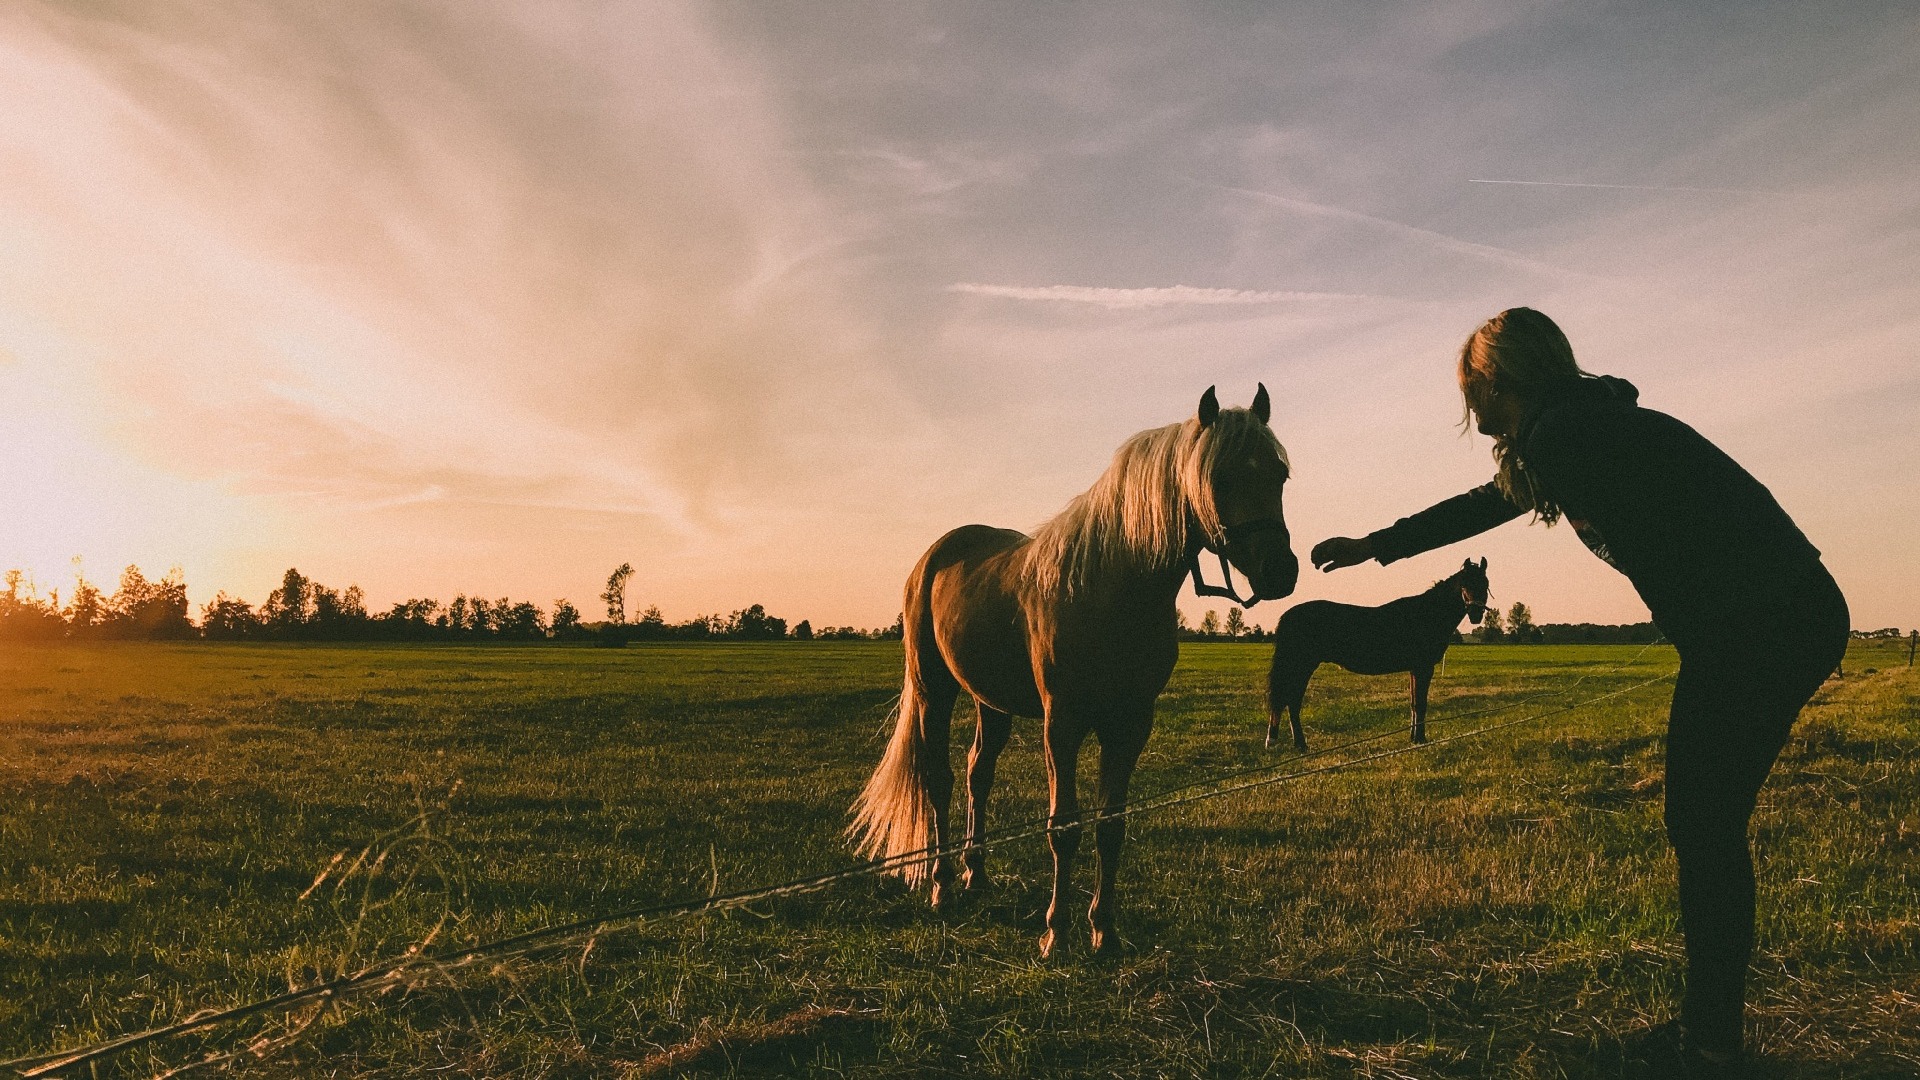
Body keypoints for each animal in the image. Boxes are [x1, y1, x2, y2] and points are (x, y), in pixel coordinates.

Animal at [848, 384, 1297, 949]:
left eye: (1279, 475)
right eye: (1219, 476)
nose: (1280, 571)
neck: (1111, 587)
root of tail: (934, 557)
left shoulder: (1130, 724)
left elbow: (1111, 825)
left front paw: (1103, 930)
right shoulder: (1061, 723)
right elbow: (1064, 826)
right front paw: (1056, 934)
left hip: (990, 702)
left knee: (978, 774)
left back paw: (976, 875)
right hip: (935, 691)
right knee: (939, 779)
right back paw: (943, 886)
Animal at [1267, 553, 1489, 749]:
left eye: (1485, 584)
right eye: (1465, 584)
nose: (1476, 614)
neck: (1425, 613)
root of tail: (1288, 615)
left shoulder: (1414, 669)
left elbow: (1413, 703)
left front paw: (1413, 737)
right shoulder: (1423, 668)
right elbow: (1421, 704)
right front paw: (1420, 739)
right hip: (1302, 667)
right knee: (1292, 702)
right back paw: (1300, 744)